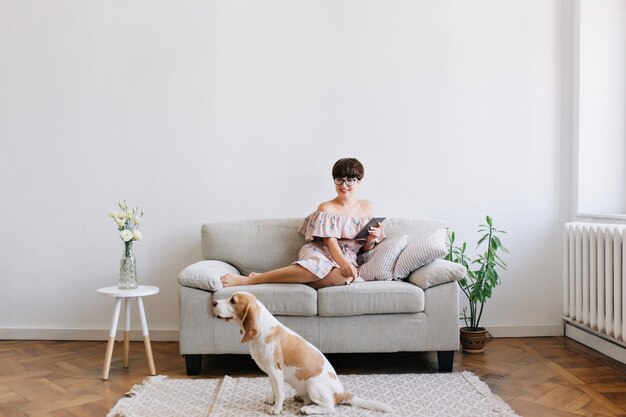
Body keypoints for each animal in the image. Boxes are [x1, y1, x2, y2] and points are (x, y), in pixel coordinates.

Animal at [213, 290, 390, 414]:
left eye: (233, 300)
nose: (214, 302)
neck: (263, 331)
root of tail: (341, 393)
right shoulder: (270, 373)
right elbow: (274, 390)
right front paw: (271, 400)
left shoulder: (276, 371)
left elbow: (280, 393)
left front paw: (277, 409)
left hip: (313, 384)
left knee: (330, 408)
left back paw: (308, 409)